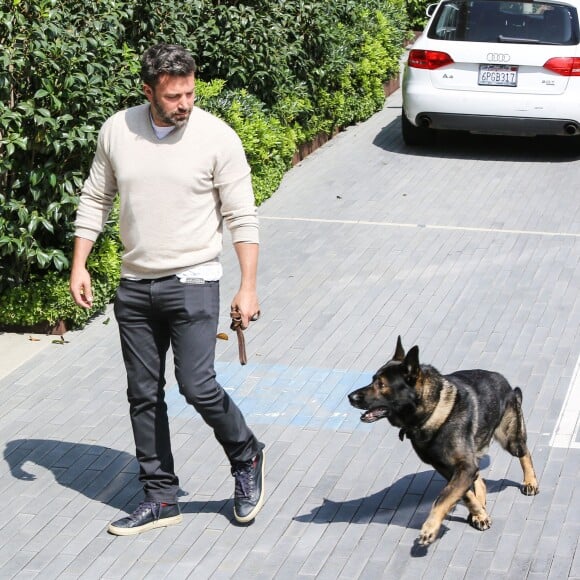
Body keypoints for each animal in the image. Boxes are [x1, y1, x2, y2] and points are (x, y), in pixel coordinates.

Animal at [348, 338, 540, 548]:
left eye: (381, 384)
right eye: (373, 379)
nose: (350, 397)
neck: (430, 411)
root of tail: (506, 383)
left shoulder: (463, 467)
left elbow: (443, 497)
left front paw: (430, 528)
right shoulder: (447, 467)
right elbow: (464, 494)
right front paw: (479, 513)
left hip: (510, 439)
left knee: (525, 453)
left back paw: (530, 481)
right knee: (479, 479)